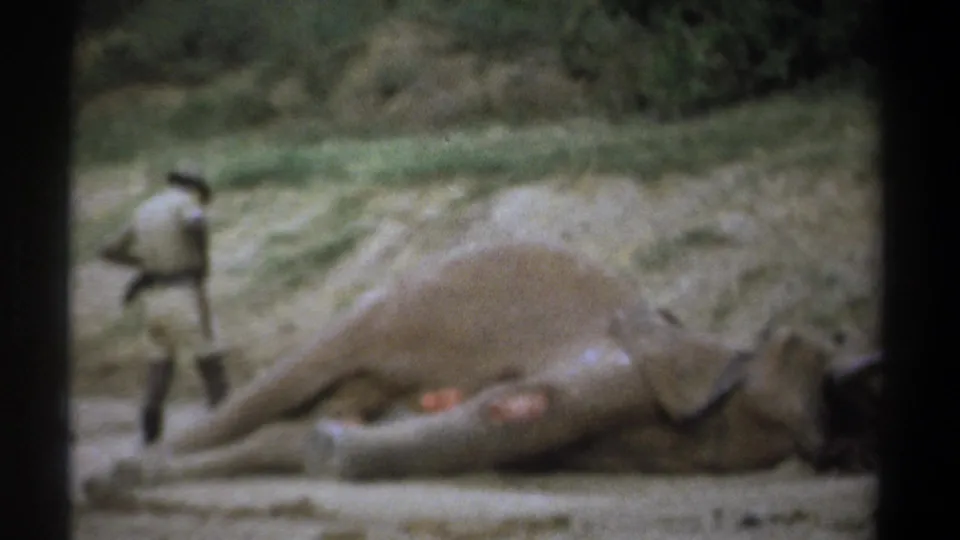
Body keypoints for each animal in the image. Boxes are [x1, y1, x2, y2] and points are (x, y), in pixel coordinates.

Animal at [82, 241, 880, 495]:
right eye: (798, 345)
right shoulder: (634, 363)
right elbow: (524, 406)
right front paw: (332, 452)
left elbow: (514, 423)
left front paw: (329, 449)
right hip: (414, 296)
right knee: (295, 376)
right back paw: (117, 478)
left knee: (305, 415)